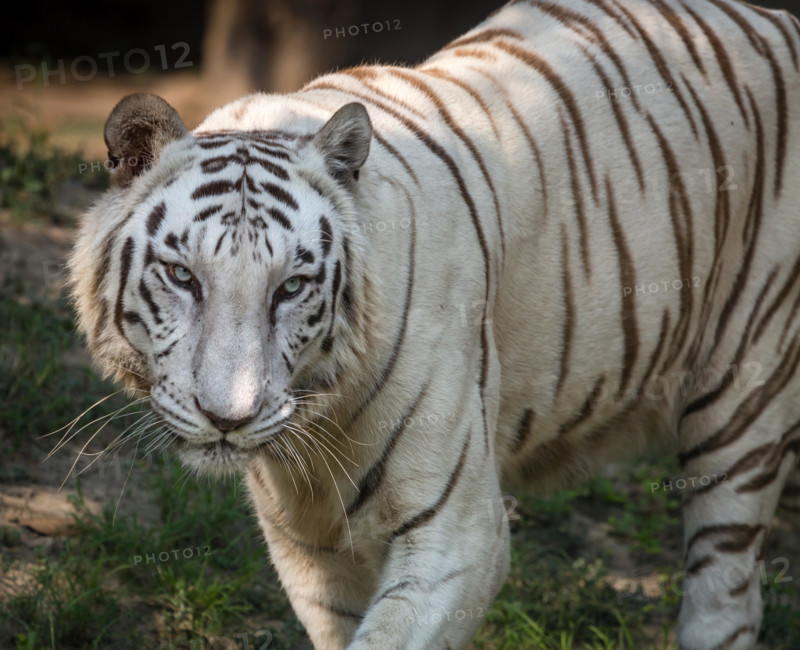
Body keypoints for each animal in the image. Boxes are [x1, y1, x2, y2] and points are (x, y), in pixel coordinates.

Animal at [67, 0, 800, 648]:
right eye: (183, 276)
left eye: (291, 287)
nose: (228, 419)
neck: (321, 426)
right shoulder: (309, 550)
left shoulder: (459, 533)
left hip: (741, 403)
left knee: (726, 596)